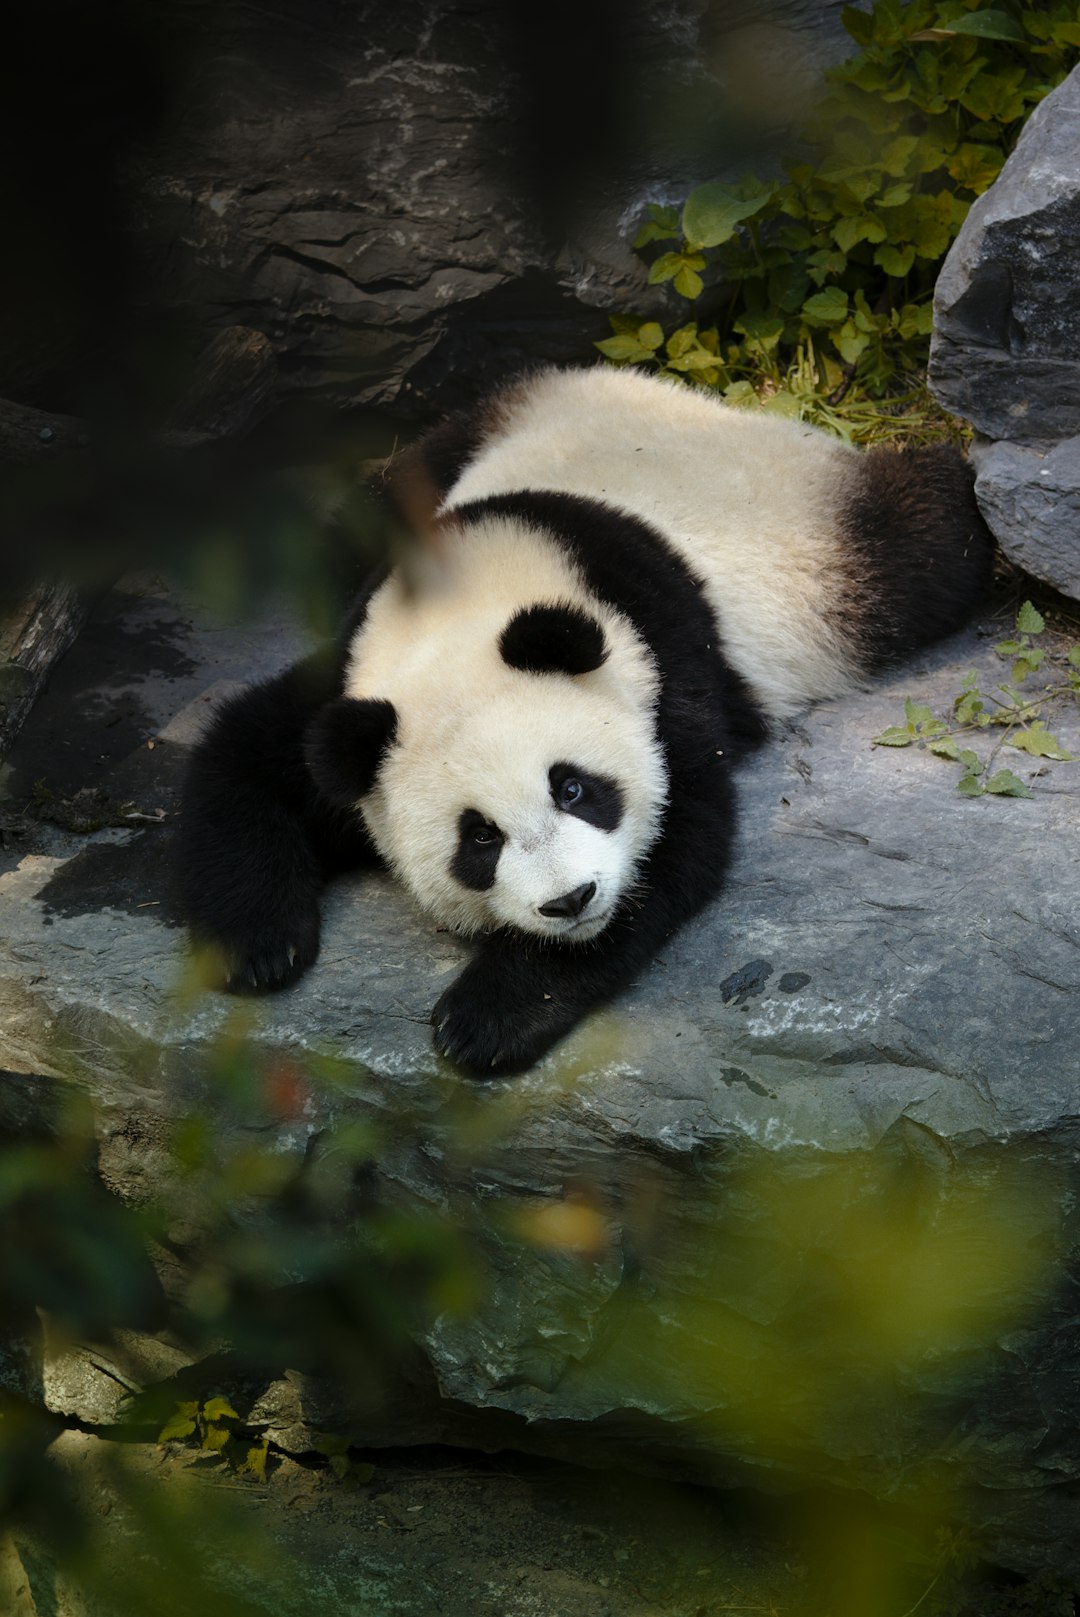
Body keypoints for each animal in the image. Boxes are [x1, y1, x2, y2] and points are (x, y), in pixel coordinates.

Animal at [179, 365, 995, 1073]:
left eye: (573, 788)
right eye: (479, 837)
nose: (571, 900)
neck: (474, 599)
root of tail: (703, 402)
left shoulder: (661, 663)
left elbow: (678, 838)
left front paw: (487, 1018)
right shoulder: (355, 677)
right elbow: (246, 752)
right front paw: (258, 944)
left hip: (830, 549)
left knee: (929, 537)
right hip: (477, 427)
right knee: (361, 511)